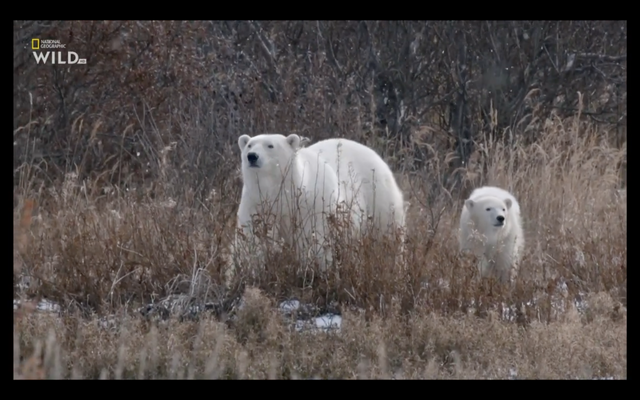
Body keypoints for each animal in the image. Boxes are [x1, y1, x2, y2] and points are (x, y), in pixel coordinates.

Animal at [235, 133, 404, 270]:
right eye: (249, 145)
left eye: (270, 145)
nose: (252, 156)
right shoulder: (256, 202)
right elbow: (253, 235)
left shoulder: (312, 204)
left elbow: (314, 237)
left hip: (378, 194)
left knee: (387, 233)